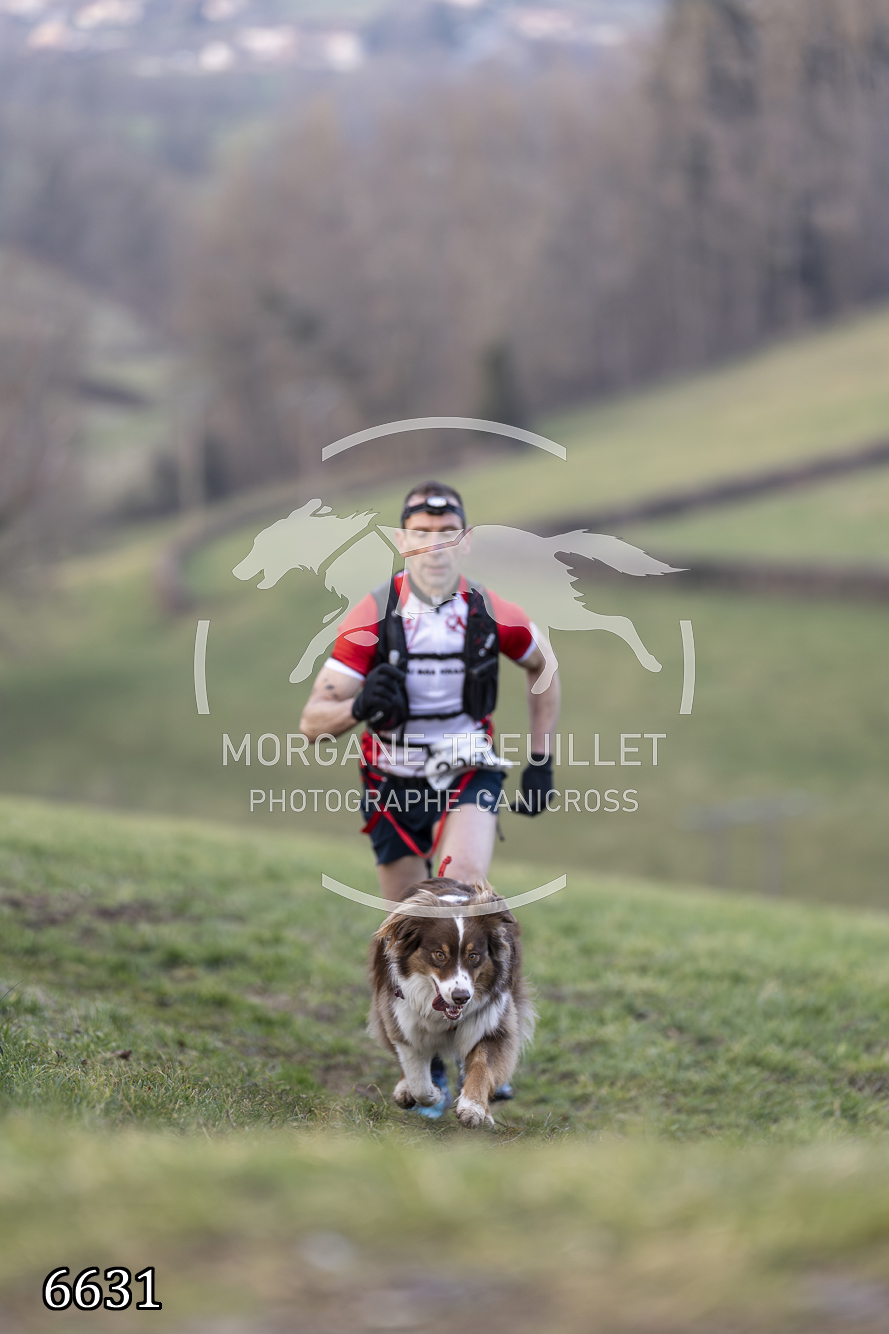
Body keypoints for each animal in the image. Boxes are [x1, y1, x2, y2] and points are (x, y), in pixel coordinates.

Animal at [368, 877, 535, 1128]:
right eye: (439, 954)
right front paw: (432, 1094)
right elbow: (416, 1075)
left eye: (473, 956)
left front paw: (473, 1108)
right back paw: (405, 1089)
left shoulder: (492, 1022)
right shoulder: (402, 1016)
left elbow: (482, 1066)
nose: (461, 997)